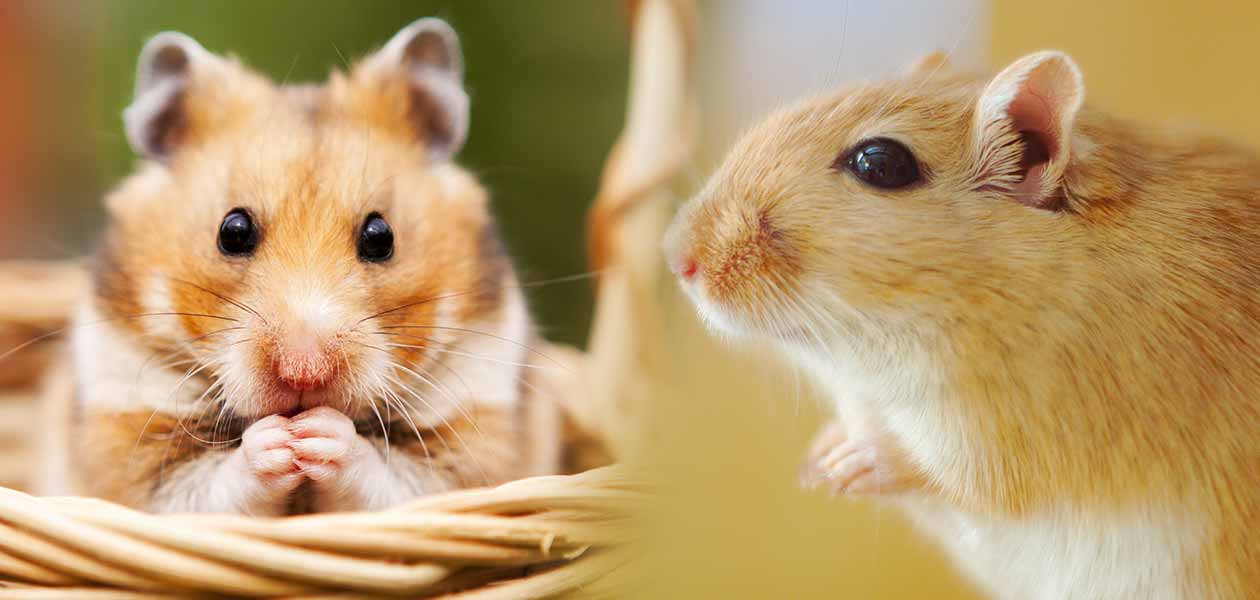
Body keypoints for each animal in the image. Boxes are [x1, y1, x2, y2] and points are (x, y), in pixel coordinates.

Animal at [62, 18, 564, 515]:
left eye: (381, 237)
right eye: (233, 231)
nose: (304, 372)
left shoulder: (474, 440)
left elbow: (397, 479)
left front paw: (318, 434)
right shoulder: (130, 440)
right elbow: (203, 487)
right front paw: (279, 442)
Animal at [665, 51, 1259, 599]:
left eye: (880, 165)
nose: (675, 257)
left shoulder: (1007, 433)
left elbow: (945, 472)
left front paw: (843, 466)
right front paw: (820, 457)